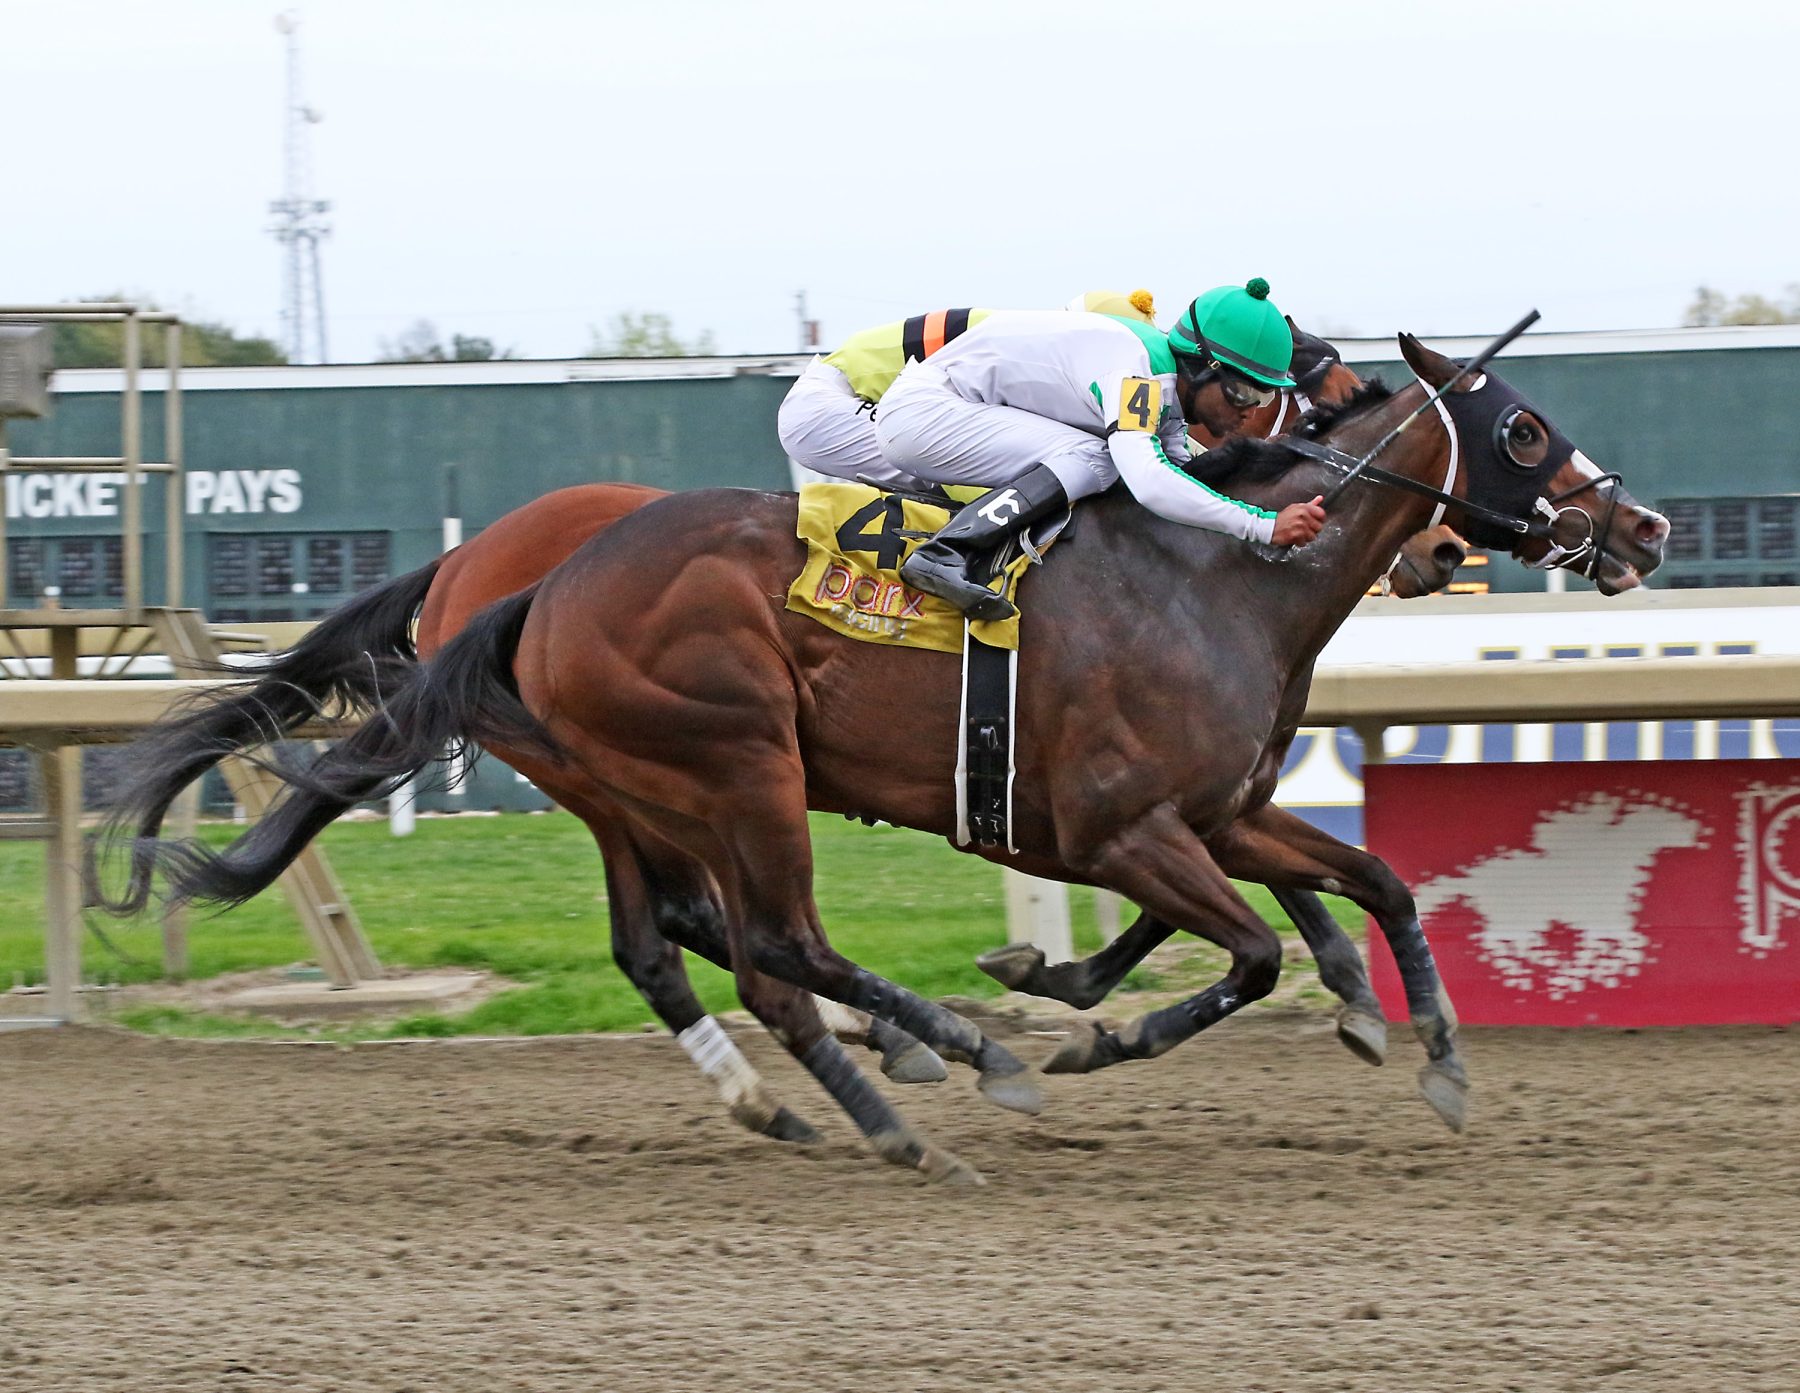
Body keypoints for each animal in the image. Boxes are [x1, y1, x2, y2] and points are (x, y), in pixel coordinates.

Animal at [105, 332, 1663, 1180]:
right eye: (1525, 427)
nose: (1642, 527)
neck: (1216, 575)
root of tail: (513, 582)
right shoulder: (1126, 826)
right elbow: (1247, 950)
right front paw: (1085, 1024)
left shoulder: (1219, 810)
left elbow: (1374, 887)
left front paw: (1431, 1057)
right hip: (733, 763)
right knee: (770, 950)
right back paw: (941, 1077)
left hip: (645, 784)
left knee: (681, 944)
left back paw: (844, 1084)